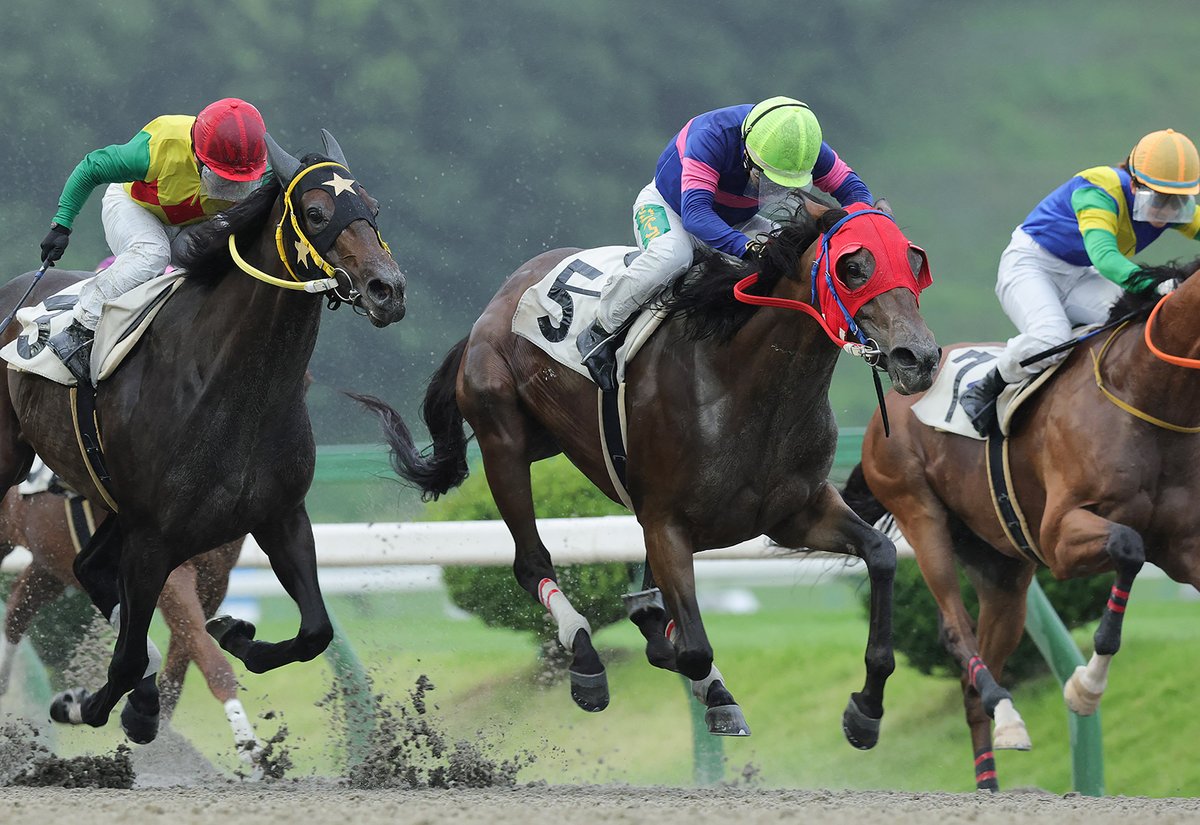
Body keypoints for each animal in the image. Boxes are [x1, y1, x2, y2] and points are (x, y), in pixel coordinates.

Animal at [0, 478, 258, 766]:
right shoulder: (171, 575)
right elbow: (211, 662)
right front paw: (252, 752)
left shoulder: (214, 580)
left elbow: (180, 664)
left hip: (49, 563)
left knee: (17, 609)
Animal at [356, 195, 938, 746]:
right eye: (853, 266)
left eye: (914, 261)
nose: (919, 357)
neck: (743, 382)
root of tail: (497, 302)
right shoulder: (666, 522)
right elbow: (693, 649)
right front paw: (703, 680)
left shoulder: (796, 513)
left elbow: (882, 554)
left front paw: (866, 709)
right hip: (504, 441)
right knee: (530, 560)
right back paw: (586, 658)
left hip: (550, 440)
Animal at [843, 257, 1200, 790]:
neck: (1147, 393)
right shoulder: (1059, 538)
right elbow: (1130, 548)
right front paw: (1085, 688)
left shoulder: (1184, 547)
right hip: (918, 512)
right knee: (955, 630)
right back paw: (1003, 711)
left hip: (1002, 568)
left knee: (974, 682)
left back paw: (992, 774)